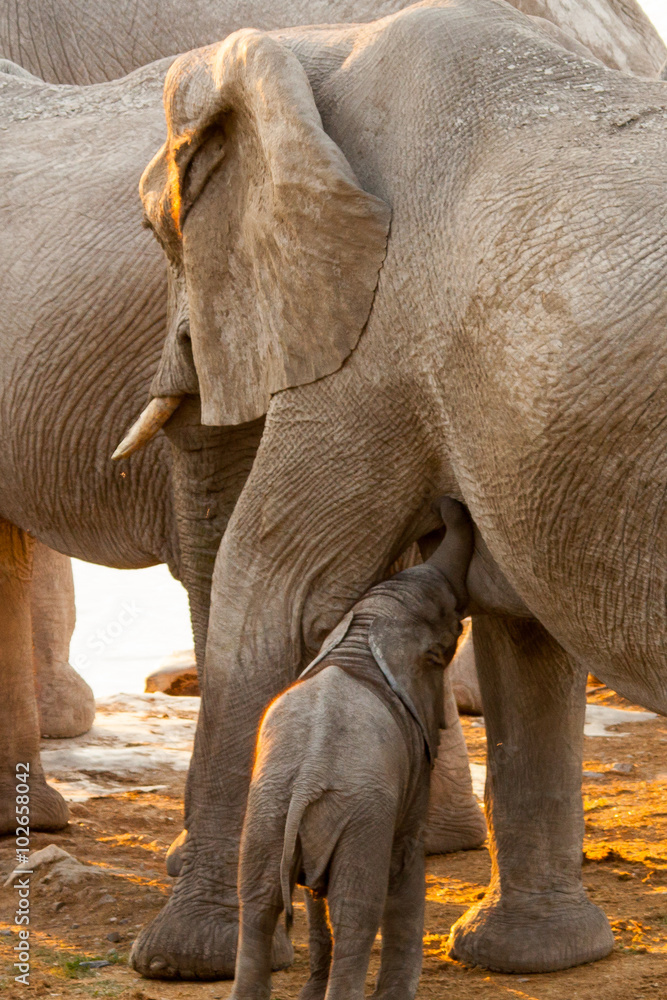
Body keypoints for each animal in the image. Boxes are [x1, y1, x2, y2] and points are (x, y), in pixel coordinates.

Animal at [234, 497, 473, 1000]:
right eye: (449, 640)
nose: (448, 503)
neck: (363, 631)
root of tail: (305, 783)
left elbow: (312, 890)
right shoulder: (412, 772)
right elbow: (405, 860)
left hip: (267, 813)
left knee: (259, 904)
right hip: (358, 818)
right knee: (355, 912)